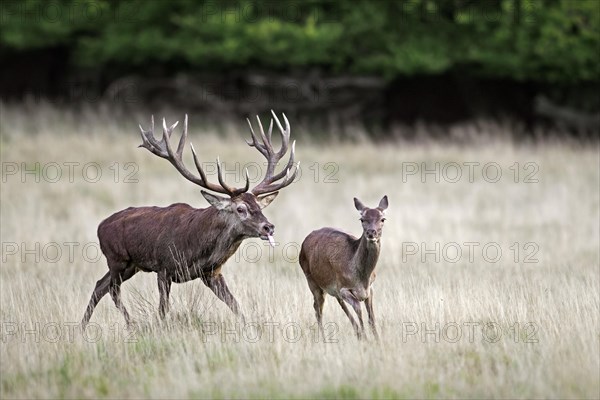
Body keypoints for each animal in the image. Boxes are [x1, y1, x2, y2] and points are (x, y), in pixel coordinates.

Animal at [82, 111, 298, 326]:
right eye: (240, 208)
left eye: (259, 207)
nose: (268, 227)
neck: (197, 248)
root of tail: (100, 226)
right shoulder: (164, 267)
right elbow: (163, 310)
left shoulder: (212, 272)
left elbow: (235, 305)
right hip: (116, 258)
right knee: (112, 290)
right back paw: (130, 323)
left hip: (130, 265)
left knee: (99, 286)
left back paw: (83, 327)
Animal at [300, 195, 390, 340]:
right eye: (362, 219)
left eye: (383, 219)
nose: (371, 232)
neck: (362, 278)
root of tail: (304, 241)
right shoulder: (343, 288)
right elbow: (359, 309)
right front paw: (366, 339)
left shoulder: (370, 288)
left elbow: (371, 316)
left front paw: (376, 339)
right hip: (312, 281)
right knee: (317, 308)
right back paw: (324, 338)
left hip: (331, 287)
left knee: (338, 304)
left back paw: (356, 332)